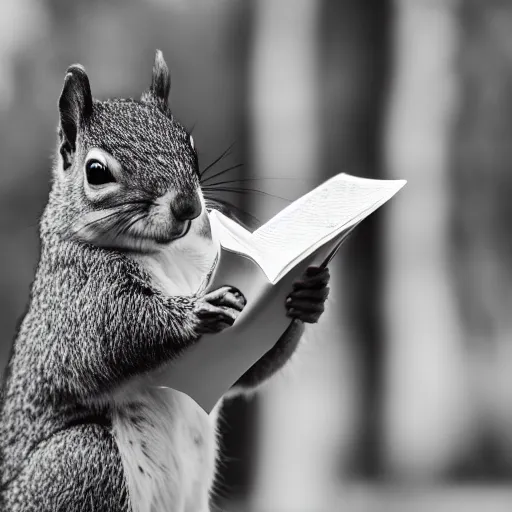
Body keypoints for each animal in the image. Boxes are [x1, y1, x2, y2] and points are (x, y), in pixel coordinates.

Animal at [0, 49, 332, 512]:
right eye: (96, 171)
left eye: (188, 144)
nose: (188, 205)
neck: (165, 255)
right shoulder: (74, 298)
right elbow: (110, 334)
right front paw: (195, 311)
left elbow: (249, 371)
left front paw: (307, 295)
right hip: (81, 460)